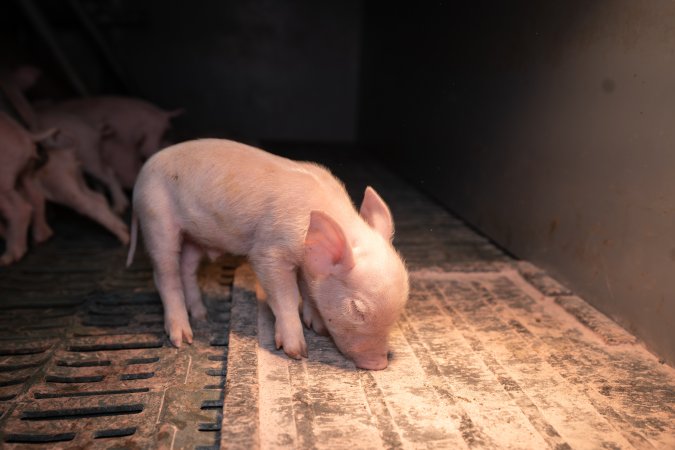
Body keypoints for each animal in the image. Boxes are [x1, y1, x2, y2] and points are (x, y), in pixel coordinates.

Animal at [127, 139, 412, 370]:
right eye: (356, 309)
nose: (379, 364)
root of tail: (143, 172)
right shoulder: (269, 251)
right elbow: (286, 296)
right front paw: (297, 352)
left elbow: (309, 291)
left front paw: (318, 327)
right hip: (156, 217)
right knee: (165, 274)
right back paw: (184, 338)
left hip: (195, 236)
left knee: (187, 268)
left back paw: (201, 315)